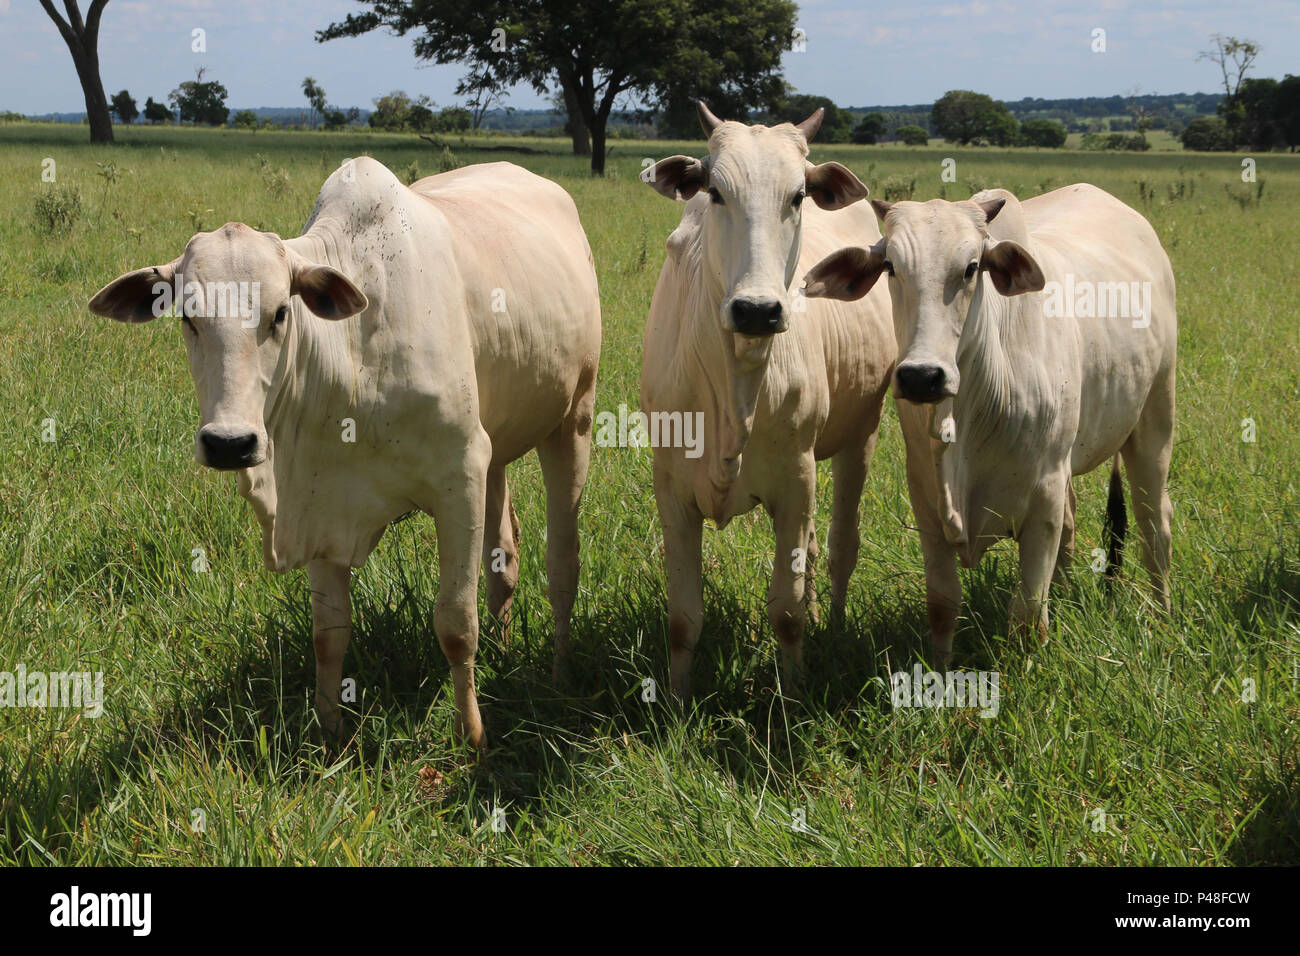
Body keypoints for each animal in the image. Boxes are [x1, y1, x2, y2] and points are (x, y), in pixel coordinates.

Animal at [86, 158, 603, 754]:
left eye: (280, 313)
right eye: (188, 318)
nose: (229, 443)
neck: (354, 356)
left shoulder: (460, 475)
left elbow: (455, 623)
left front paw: (471, 737)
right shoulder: (317, 499)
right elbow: (328, 635)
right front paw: (328, 732)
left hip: (573, 418)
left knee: (562, 562)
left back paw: (559, 672)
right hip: (497, 446)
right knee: (506, 559)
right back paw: (504, 648)